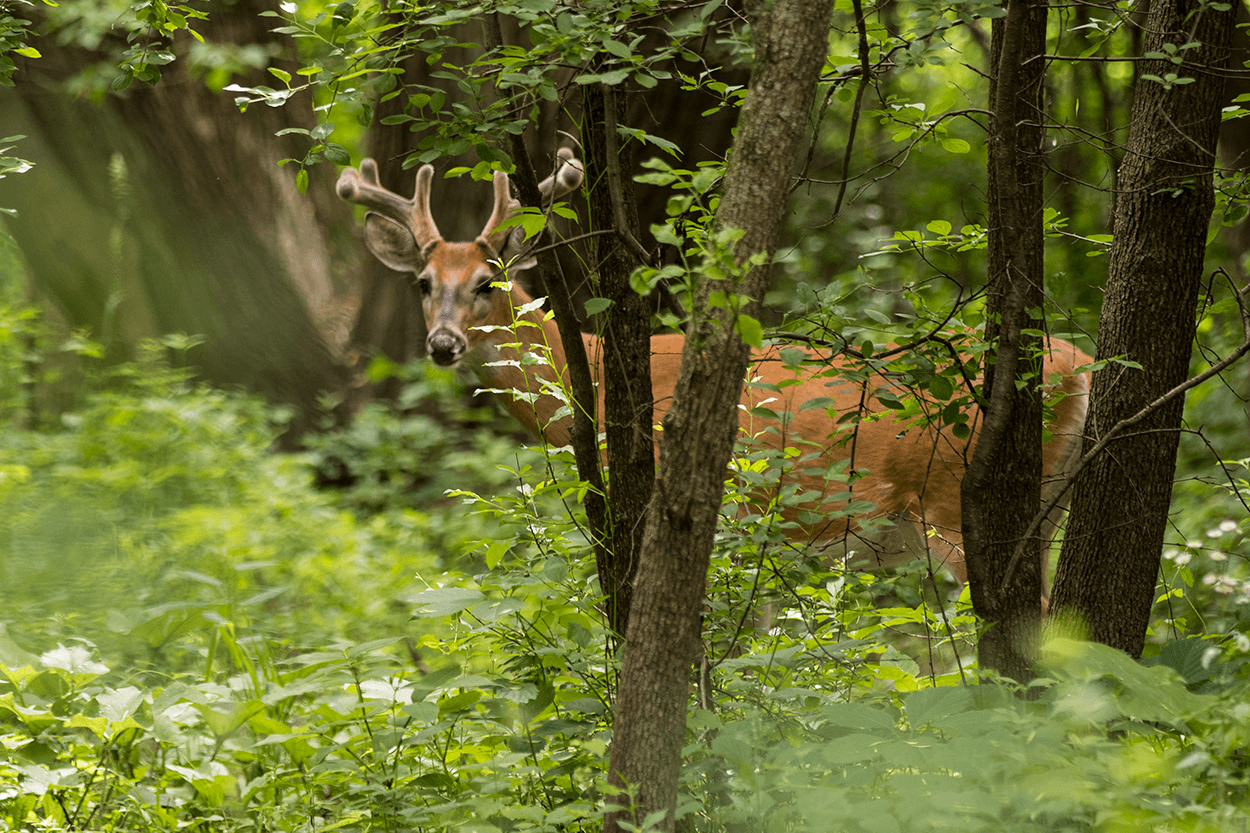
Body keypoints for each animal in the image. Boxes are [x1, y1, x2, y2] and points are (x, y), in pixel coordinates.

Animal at [336, 149, 1093, 603]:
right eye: (424, 283)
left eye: (487, 281)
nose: (442, 344)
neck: (601, 378)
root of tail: (1079, 364)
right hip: (1046, 508)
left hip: (956, 501)